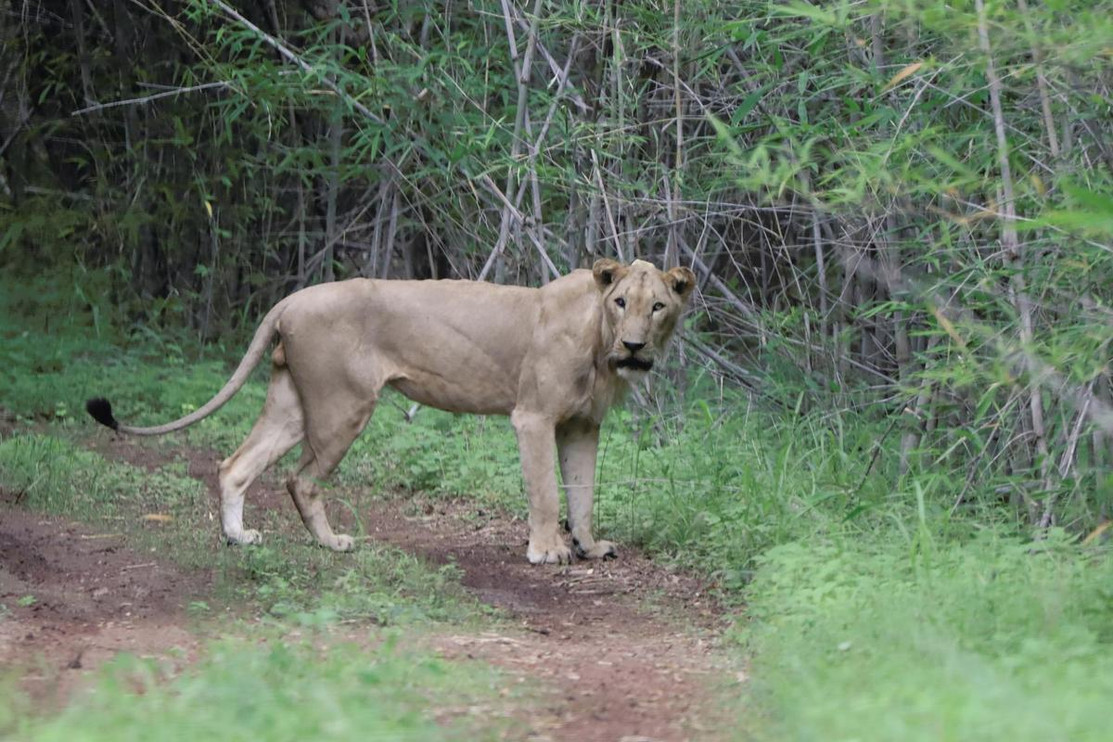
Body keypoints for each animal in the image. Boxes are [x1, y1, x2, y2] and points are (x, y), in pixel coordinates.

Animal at [86, 258, 696, 564]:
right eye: (621, 302)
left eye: (658, 306)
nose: (635, 346)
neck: (599, 340)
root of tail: (291, 299)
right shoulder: (534, 417)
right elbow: (547, 492)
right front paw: (548, 552)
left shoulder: (583, 426)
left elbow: (583, 493)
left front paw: (590, 547)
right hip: (343, 405)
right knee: (300, 480)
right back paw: (332, 543)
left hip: (292, 403)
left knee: (236, 465)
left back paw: (240, 539)